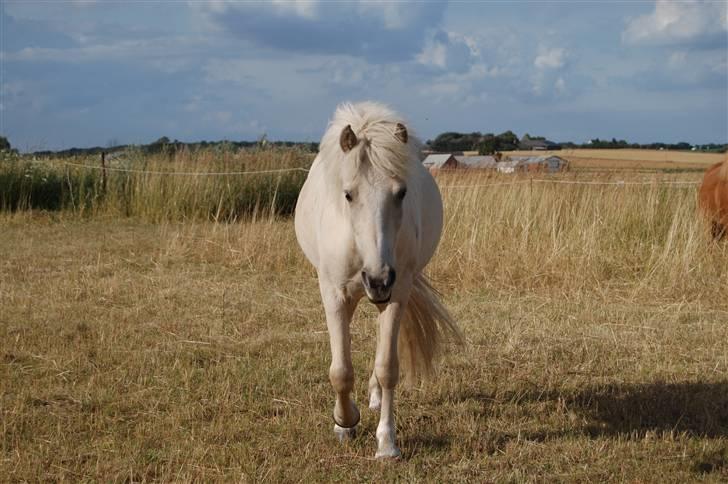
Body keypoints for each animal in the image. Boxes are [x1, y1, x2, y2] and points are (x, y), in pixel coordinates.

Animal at [292, 101, 458, 458]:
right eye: (348, 194)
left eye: (401, 192)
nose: (379, 279)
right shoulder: (334, 293)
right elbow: (340, 370)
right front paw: (345, 422)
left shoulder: (397, 292)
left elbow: (387, 367)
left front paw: (387, 443)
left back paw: (374, 398)